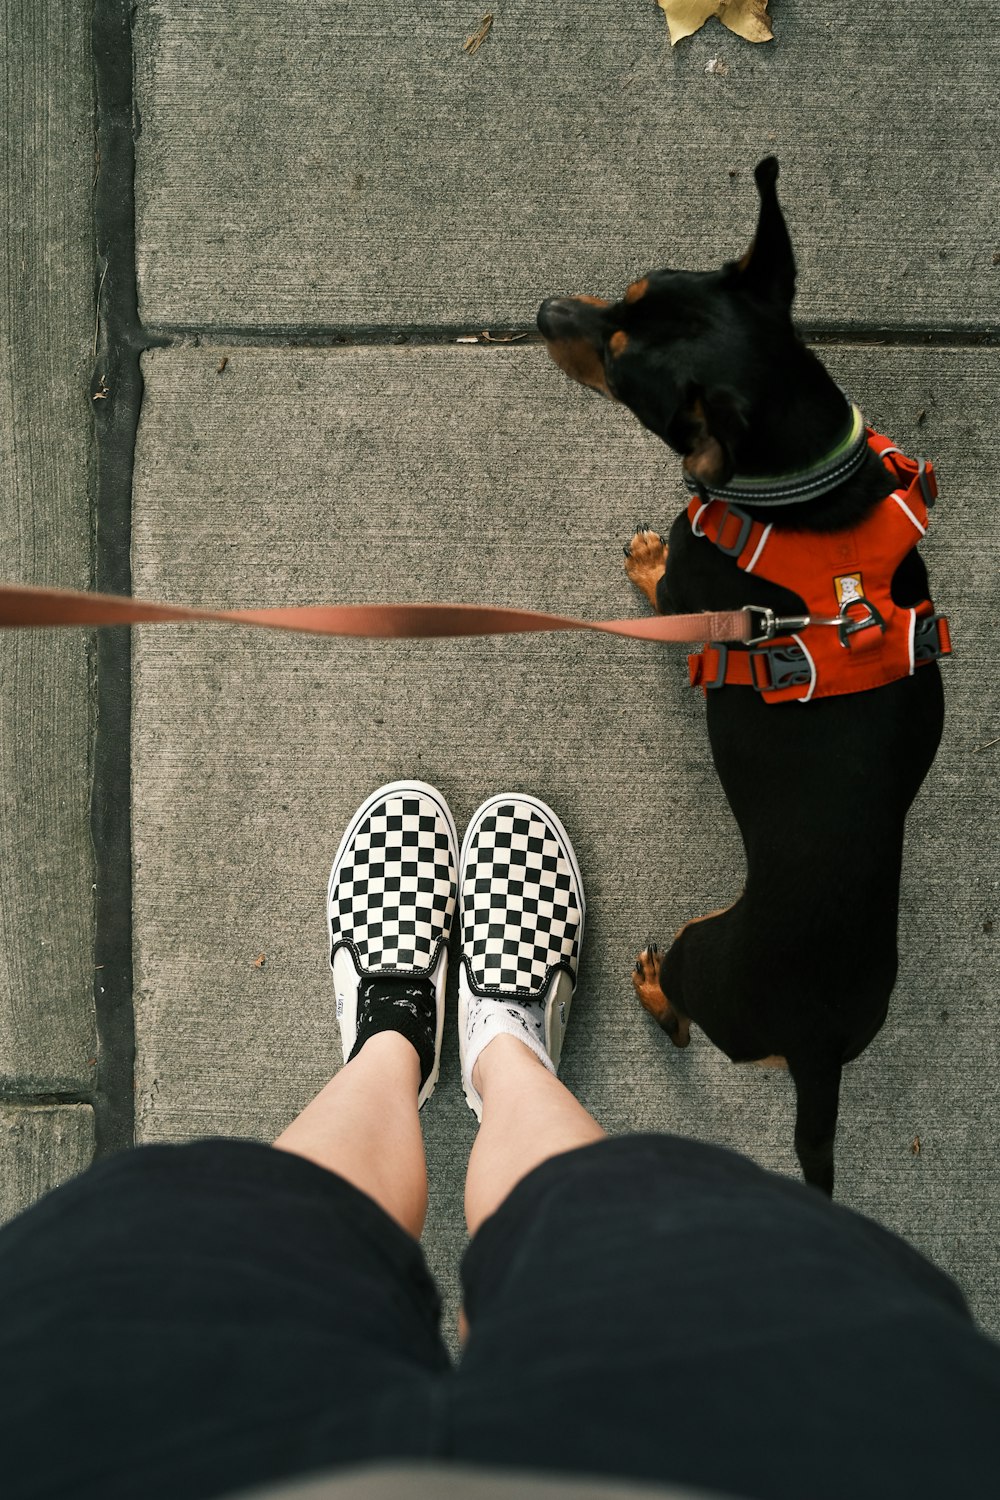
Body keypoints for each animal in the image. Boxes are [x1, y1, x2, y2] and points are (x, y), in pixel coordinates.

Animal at [539, 161, 947, 1194]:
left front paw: (645, 556)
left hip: (703, 949)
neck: (806, 489)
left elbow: (661, 581)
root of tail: (816, 1055)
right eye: (632, 289)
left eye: (617, 365)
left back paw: (649, 988)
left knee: (684, 1019)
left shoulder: (693, 585)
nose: (543, 309)